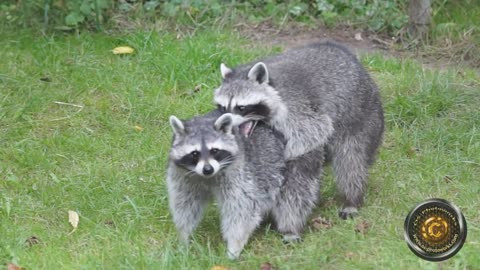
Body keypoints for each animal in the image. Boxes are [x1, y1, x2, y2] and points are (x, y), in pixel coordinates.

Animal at [167, 109, 284, 260]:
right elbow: (185, 206)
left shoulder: (239, 173)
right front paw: (184, 237)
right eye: (195, 153)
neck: (209, 177)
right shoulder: (184, 177)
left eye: (214, 151)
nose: (208, 169)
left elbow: (241, 211)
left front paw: (234, 247)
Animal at [216, 42, 384, 232]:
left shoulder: (296, 107)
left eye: (241, 108)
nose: (228, 123)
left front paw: (286, 155)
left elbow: (315, 132)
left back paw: (352, 198)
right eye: (223, 107)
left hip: (361, 116)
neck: (271, 86)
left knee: (351, 161)